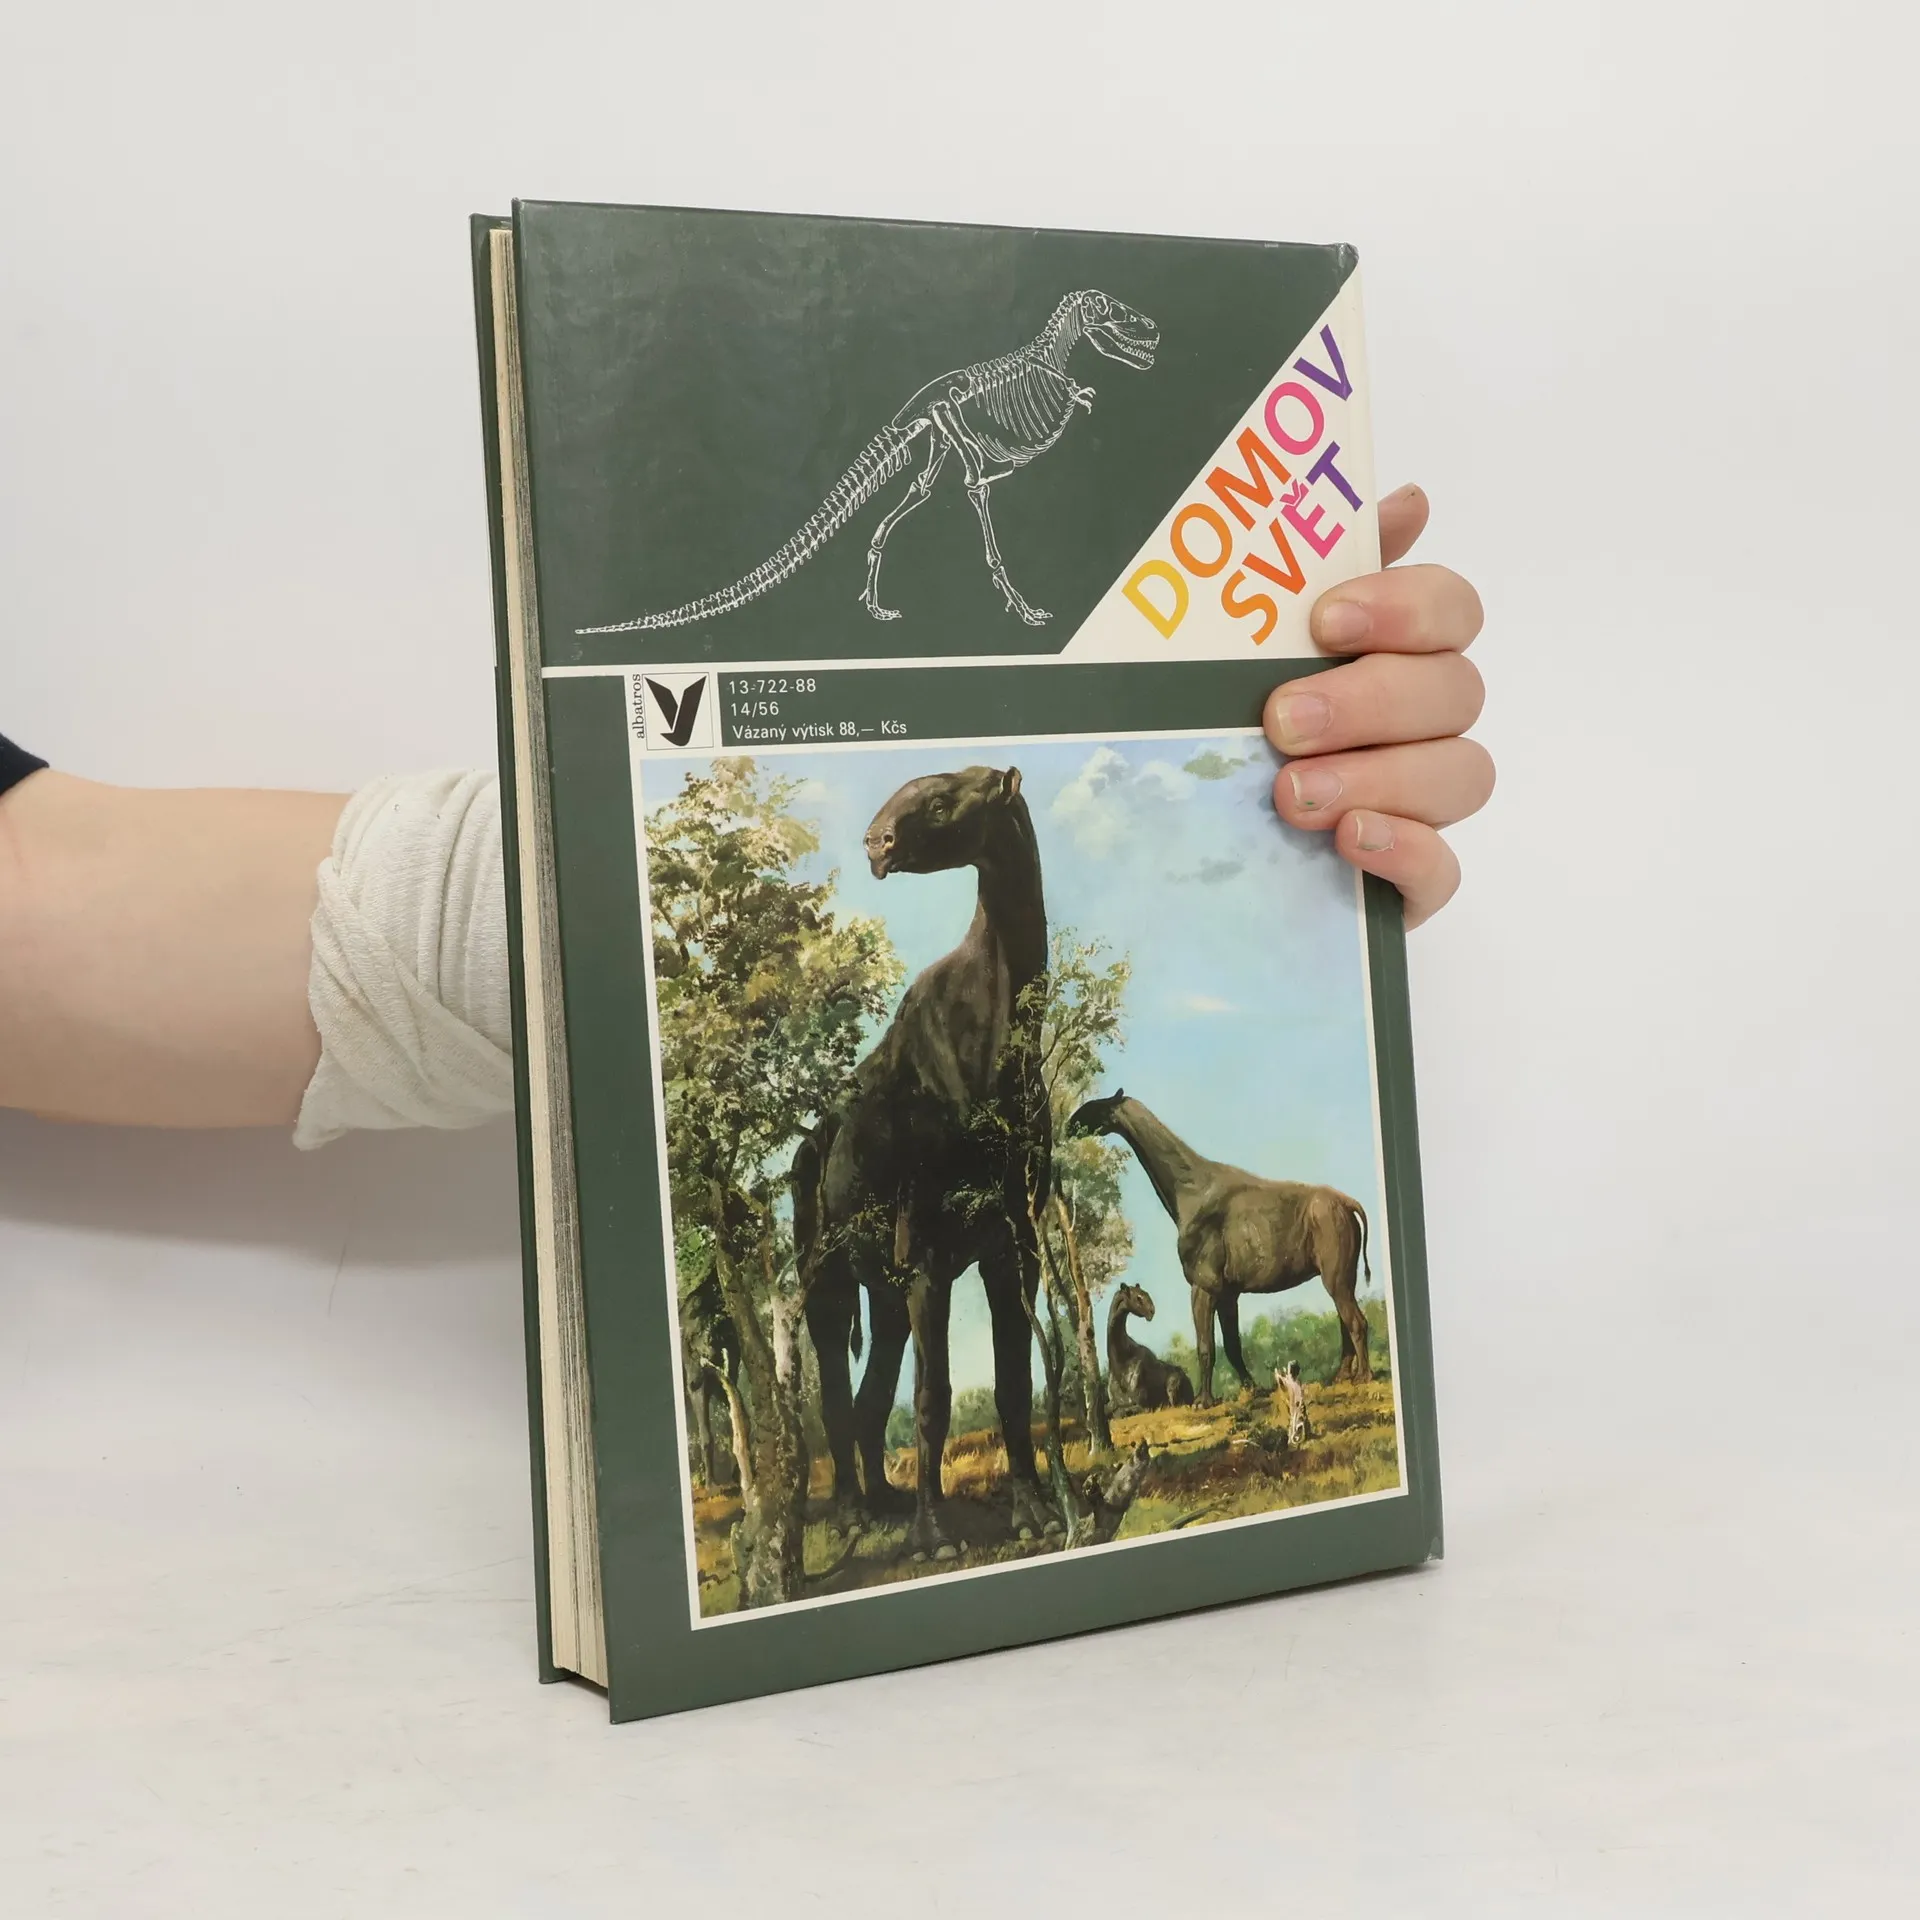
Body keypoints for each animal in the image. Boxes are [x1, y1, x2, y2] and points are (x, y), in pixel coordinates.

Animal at [795, 764, 1054, 1555]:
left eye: (941, 802)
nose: (875, 842)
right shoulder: (931, 1254)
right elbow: (933, 1399)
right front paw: (935, 1535)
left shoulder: (1014, 1246)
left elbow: (1011, 1388)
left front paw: (1033, 1512)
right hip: (828, 1280)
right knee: (839, 1394)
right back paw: (854, 1512)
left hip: (883, 1294)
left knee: (871, 1396)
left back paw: (883, 1500)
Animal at [1104, 1282, 1194, 1413]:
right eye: (1138, 1297)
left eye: (1146, 1293)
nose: (1152, 1311)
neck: (1119, 1359)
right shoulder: (1113, 1402)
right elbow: (1110, 1409)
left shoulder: (1143, 1404)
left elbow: (1124, 1411)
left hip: (1172, 1388)